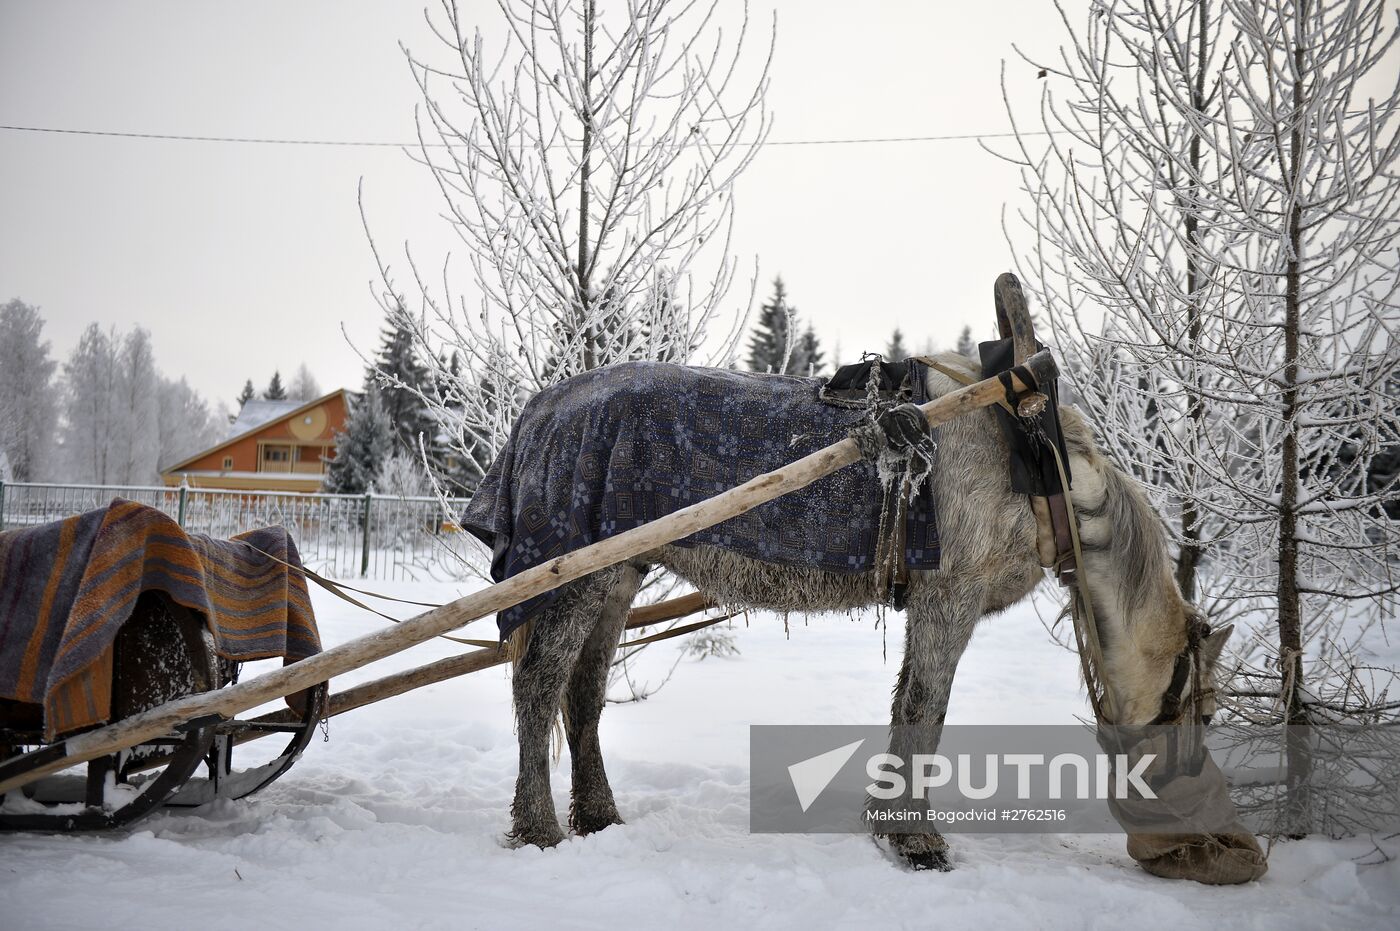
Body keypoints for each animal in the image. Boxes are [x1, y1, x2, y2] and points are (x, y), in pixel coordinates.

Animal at [476, 350, 1232, 873]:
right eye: (1197, 709)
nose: (1196, 841)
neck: (1033, 460)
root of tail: (543, 406)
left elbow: (906, 705)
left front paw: (890, 822)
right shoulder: (949, 596)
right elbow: (927, 708)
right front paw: (917, 839)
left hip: (618, 577)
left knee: (583, 693)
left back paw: (598, 814)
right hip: (580, 576)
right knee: (539, 685)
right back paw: (538, 827)